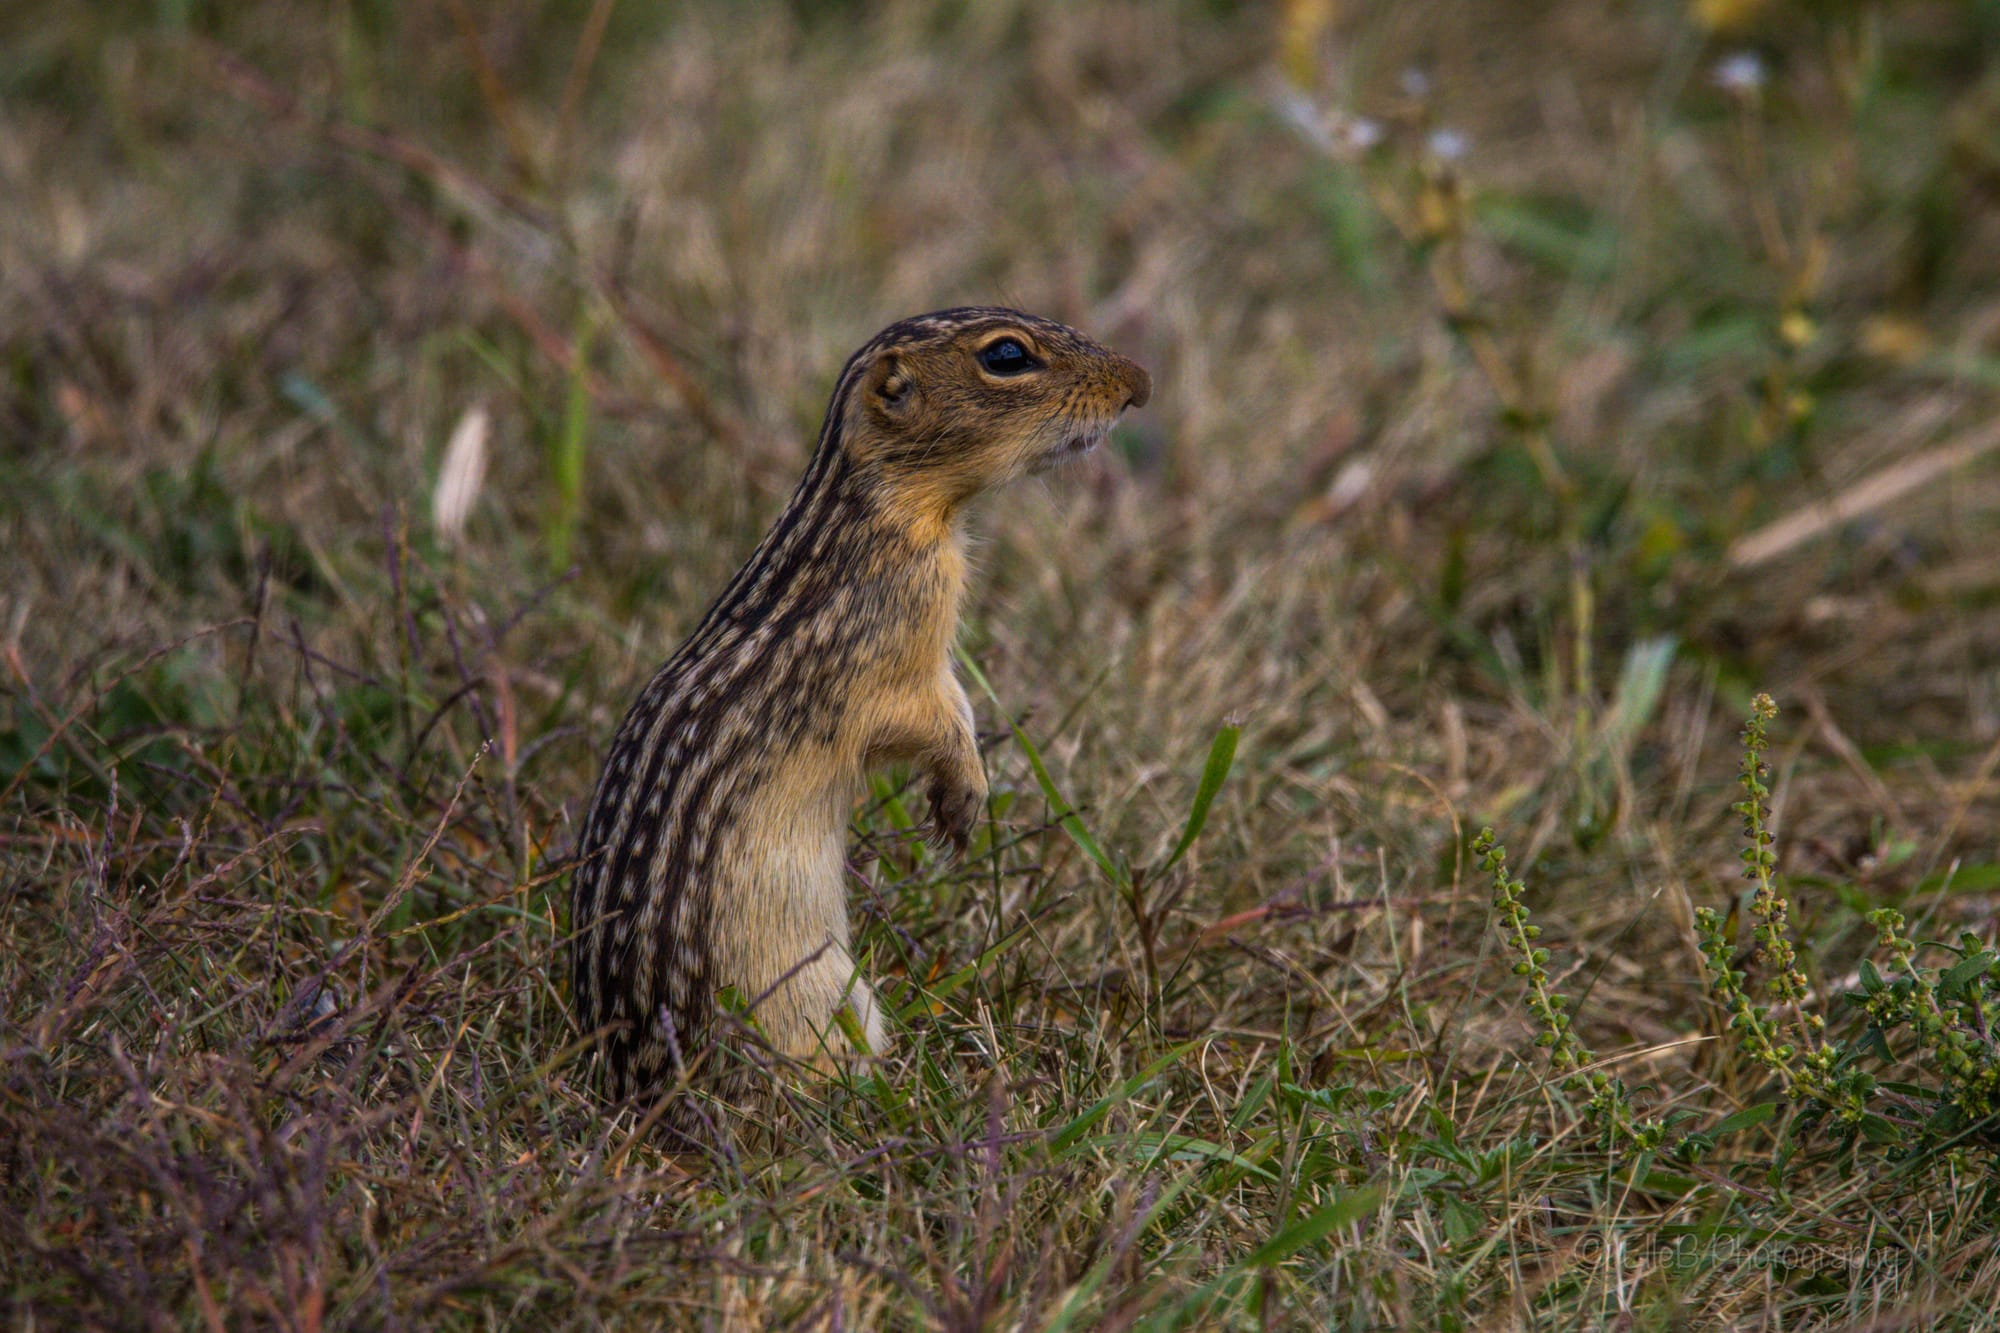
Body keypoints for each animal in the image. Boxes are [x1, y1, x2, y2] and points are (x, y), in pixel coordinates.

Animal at [572, 306, 1152, 1104]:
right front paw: (966, 794)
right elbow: (924, 720)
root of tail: (638, 1089)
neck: (883, 516)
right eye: (1007, 356)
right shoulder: (888, 664)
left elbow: (958, 703)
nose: (1141, 383)